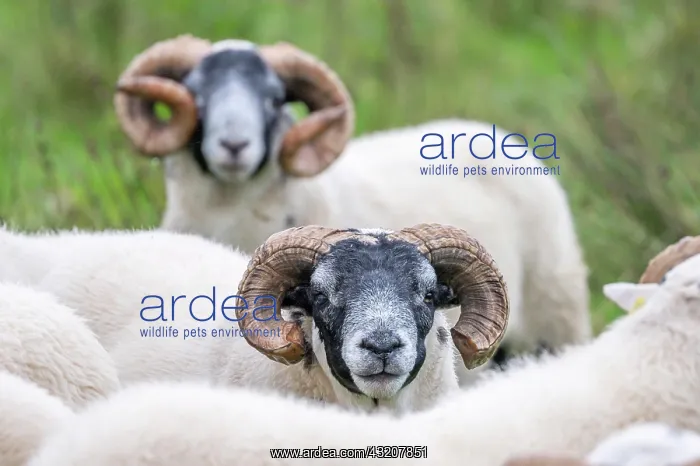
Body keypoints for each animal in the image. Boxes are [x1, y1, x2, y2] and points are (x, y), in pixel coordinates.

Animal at [113, 34, 591, 382]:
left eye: (274, 100)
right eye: (196, 94)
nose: (234, 146)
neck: (231, 211)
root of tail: (489, 133)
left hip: (556, 313)